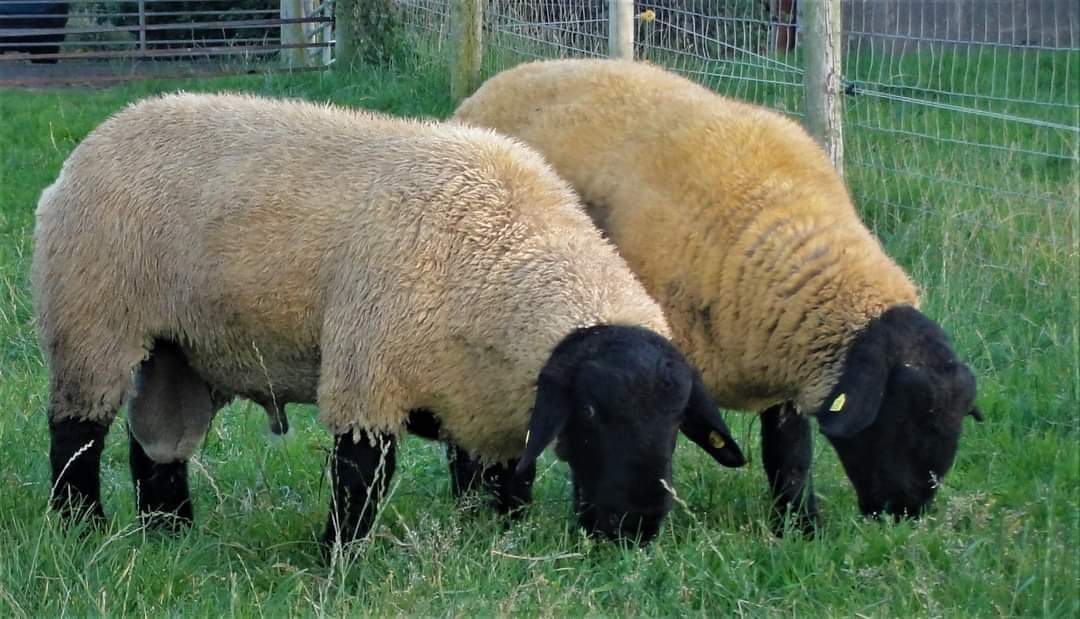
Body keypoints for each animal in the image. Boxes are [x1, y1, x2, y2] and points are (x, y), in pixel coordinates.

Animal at [33, 92, 747, 549]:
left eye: (677, 423)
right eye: (593, 413)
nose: (634, 529)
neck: (500, 253)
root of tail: (93, 141)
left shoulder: (481, 400)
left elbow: (498, 482)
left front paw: (489, 538)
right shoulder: (368, 371)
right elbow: (360, 482)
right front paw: (337, 562)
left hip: (178, 350)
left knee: (156, 445)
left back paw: (168, 535)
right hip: (92, 322)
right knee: (76, 436)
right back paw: (83, 531)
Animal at [453, 58, 982, 530]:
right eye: (905, 418)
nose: (905, 513)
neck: (780, 224)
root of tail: (497, 81)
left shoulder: (784, 366)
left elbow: (789, 454)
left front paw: (799, 526)